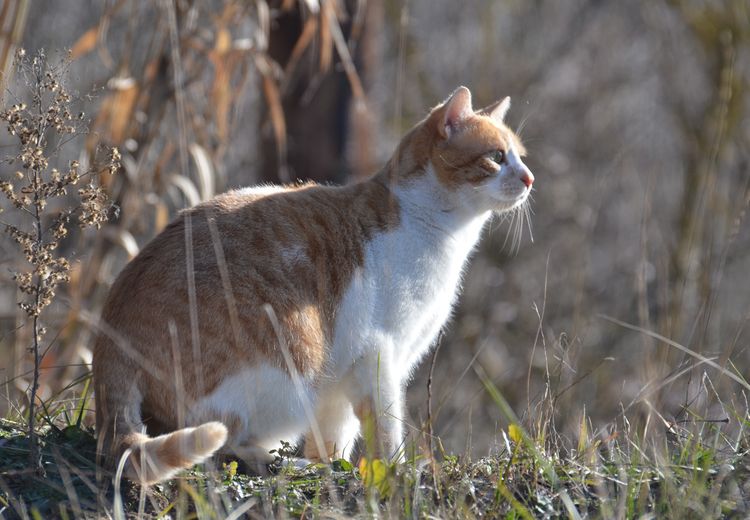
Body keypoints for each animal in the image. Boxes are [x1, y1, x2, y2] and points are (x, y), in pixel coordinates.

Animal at [92, 86, 536, 484]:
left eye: (521, 157)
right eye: (497, 157)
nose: (529, 178)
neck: (437, 229)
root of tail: (110, 341)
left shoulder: (345, 379)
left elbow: (336, 435)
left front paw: (336, 464)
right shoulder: (379, 355)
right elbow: (386, 427)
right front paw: (395, 471)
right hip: (293, 364)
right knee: (225, 439)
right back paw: (282, 461)